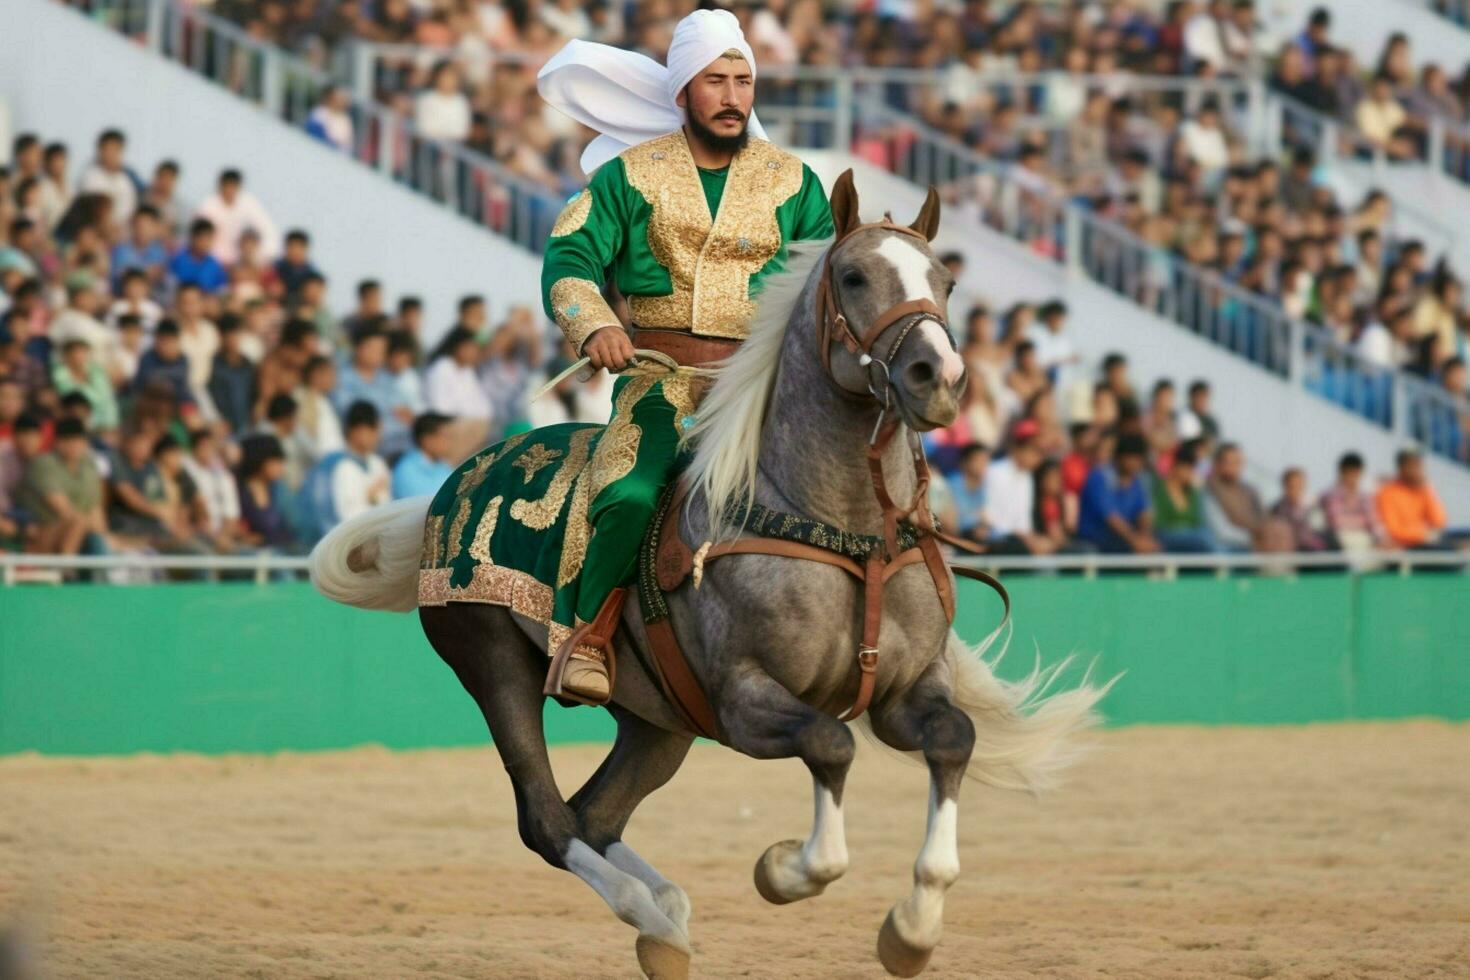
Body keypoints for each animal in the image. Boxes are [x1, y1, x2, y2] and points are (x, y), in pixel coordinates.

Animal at [316, 172, 1105, 975]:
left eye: (944, 281)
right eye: (854, 276)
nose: (937, 377)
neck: (843, 533)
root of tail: (456, 484)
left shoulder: (905, 694)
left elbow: (952, 739)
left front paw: (912, 929)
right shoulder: (746, 700)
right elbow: (832, 745)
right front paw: (786, 870)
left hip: (659, 722)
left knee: (595, 815)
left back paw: (665, 918)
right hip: (495, 664)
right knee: (547, 819)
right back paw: (655, 917)